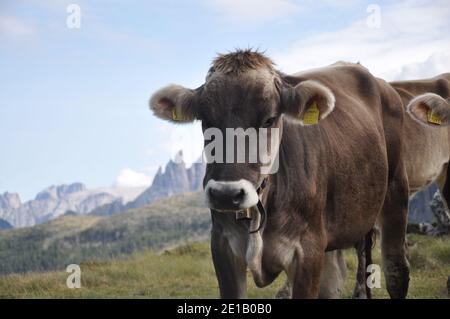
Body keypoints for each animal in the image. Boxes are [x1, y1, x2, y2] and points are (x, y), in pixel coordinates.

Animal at [149, 48, 410, 298]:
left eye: (269, 119)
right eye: (206, 120)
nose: (225, 194)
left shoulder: (308, 250)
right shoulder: (222, 246)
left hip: (395, 192)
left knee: (396, 271)